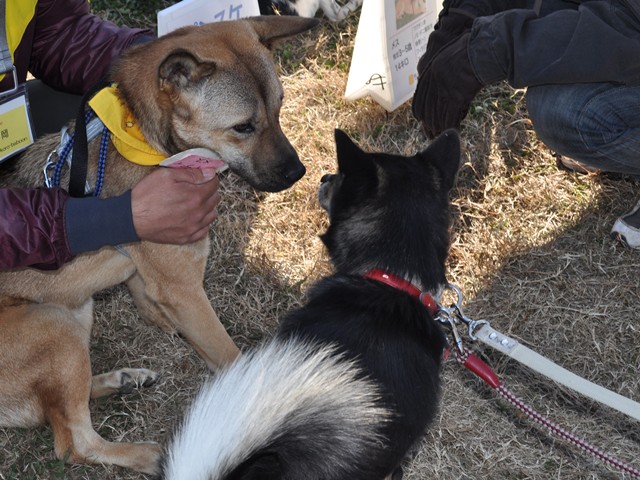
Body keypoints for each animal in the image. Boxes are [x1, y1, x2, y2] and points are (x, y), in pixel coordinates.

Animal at [0, 16, 318, 474]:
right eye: (243, 127)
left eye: (279, 108)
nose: (298, 172)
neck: (150, 144)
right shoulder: (185, 288)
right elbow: (231, 357)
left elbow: (144, 288)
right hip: (55, 325)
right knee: (73, 441)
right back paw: (147, 454)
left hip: (76, 314)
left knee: (65, 402)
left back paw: (122, 379)